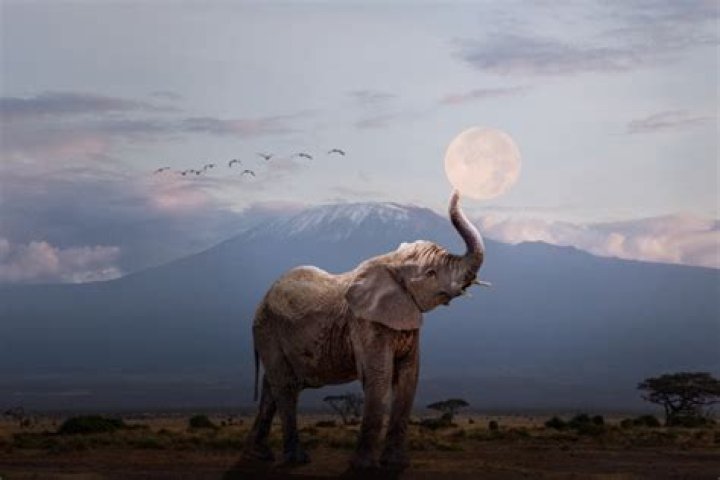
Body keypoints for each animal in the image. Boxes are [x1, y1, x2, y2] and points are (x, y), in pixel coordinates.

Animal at [244, 190, 487, 470]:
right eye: (431, 273)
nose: (457, 190)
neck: (390, 261)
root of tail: (262, 299)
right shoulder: (364, 322)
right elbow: (379, 376)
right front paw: (363, 466)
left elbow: (408, 377)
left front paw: (396, 464)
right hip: (267, 329)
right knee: (286, 387)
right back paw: (296, 460)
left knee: (271, 387)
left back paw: (259, 455)